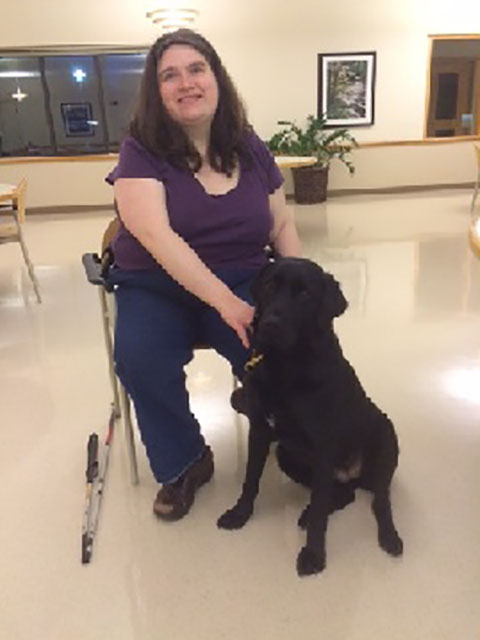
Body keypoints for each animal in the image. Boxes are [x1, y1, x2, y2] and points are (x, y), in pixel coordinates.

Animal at [219, 258, 404, 576]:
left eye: (304, 294)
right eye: (269, 286)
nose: (270, 324)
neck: (285, 365)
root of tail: (352, 475)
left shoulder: (323, 447)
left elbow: (320, 510)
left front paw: (314, 555)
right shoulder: (260, 430)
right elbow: (250, 480)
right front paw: (240, 514)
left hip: (386, 438)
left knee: (379, 501)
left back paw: (390, 537)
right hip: (286, 455)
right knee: (343, 494)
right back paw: (307, 513)